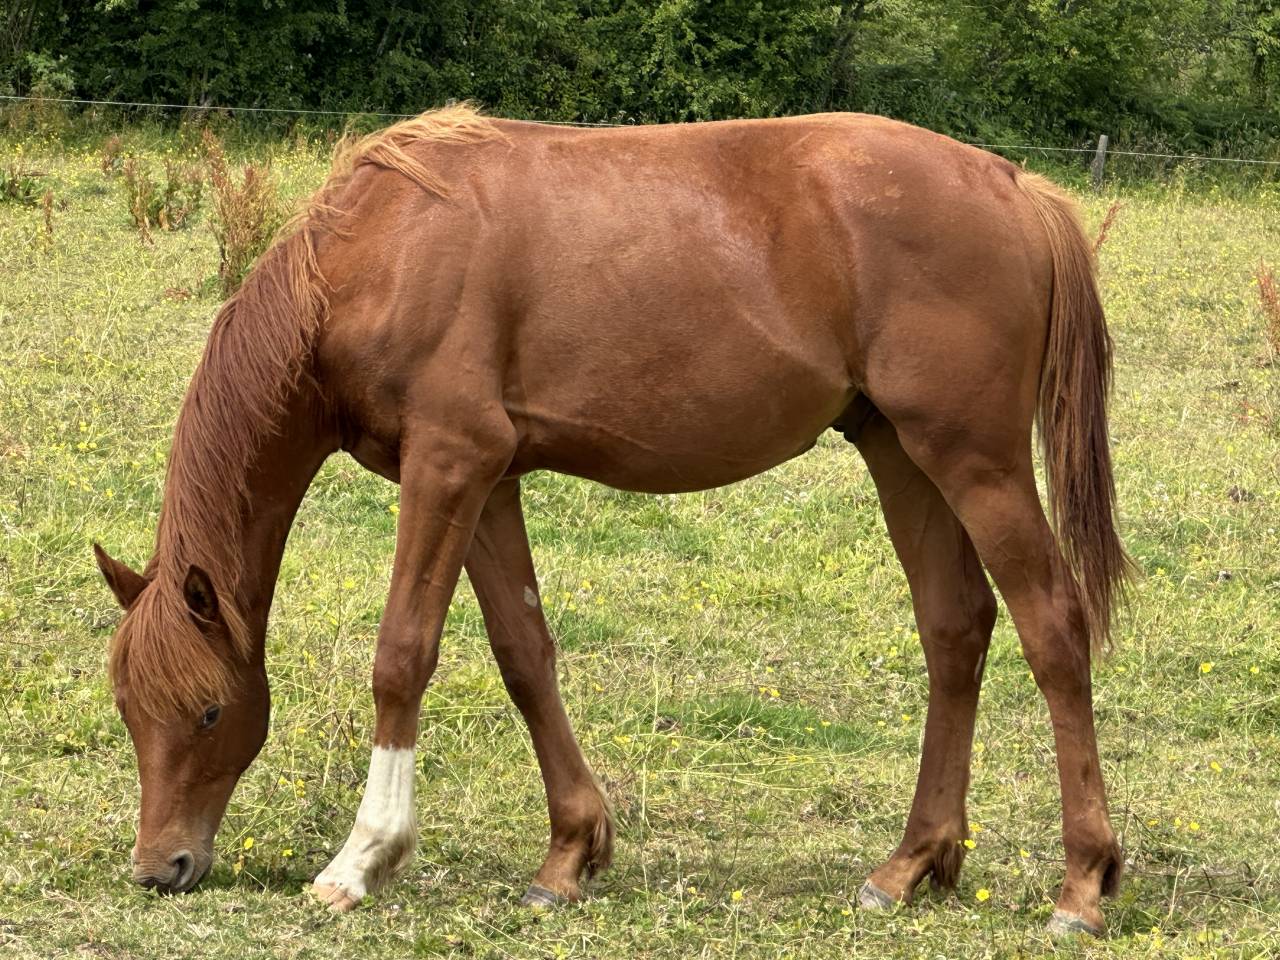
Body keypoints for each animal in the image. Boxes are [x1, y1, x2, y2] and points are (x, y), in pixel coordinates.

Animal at [93, 104, 1130, 937]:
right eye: (130, 710)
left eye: (209, 710)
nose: (161, 866)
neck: (380, 252)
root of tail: (1015, 186)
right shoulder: (488, 483)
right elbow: (523, 655)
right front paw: (570, 854)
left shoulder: (447, 465)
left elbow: (402, 656)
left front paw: (363, 859)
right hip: (901, 454)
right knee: (956, 628)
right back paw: (910, 864)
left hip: (976, 462)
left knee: (1052, 630)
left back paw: (1081, 886)